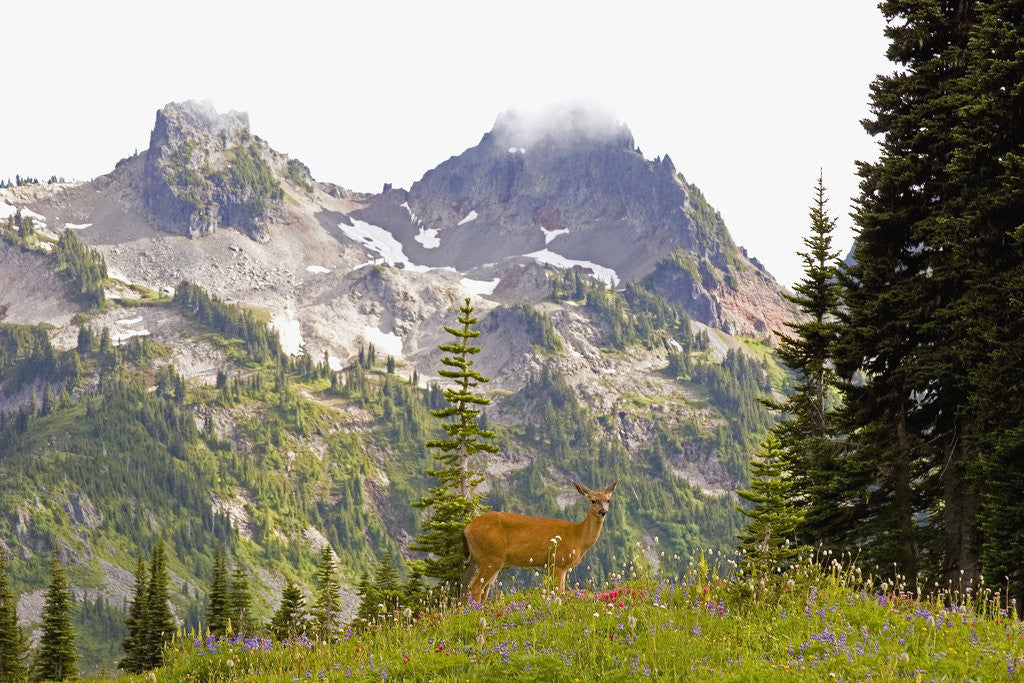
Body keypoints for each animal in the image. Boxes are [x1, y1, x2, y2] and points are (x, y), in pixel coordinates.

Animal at [460, 480, 617, 603]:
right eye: (593, 500)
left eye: (608, 500)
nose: (603, 511)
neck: (578, 537)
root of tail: (467, 528)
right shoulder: (557, 561)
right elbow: (558, 593)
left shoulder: (564, 566)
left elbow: (562, 592)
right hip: (491, 556)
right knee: (475, 587)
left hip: (493, 560)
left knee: (483, 590)